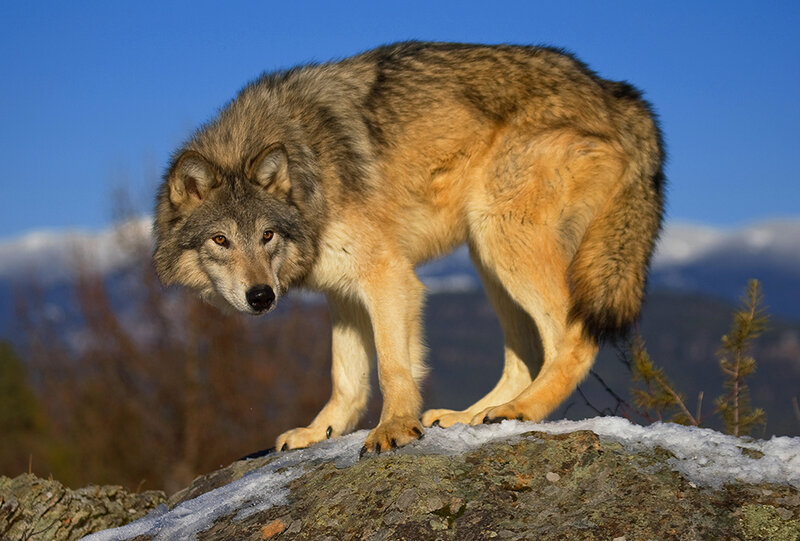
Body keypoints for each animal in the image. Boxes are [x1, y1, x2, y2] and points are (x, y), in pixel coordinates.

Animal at [153, 41, 665, 455]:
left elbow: (392, 366)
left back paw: (522, 410)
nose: (261, 297)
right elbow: (347, 378)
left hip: (503, 237)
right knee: (527, 356)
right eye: (221, 240)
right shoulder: (342, 292)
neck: (308, 166)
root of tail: (615, 91)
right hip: (488, 257)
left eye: (266, 236)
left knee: (571, 338)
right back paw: (471, 416)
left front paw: (395, 428)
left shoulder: (388, 276)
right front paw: (320, 432)